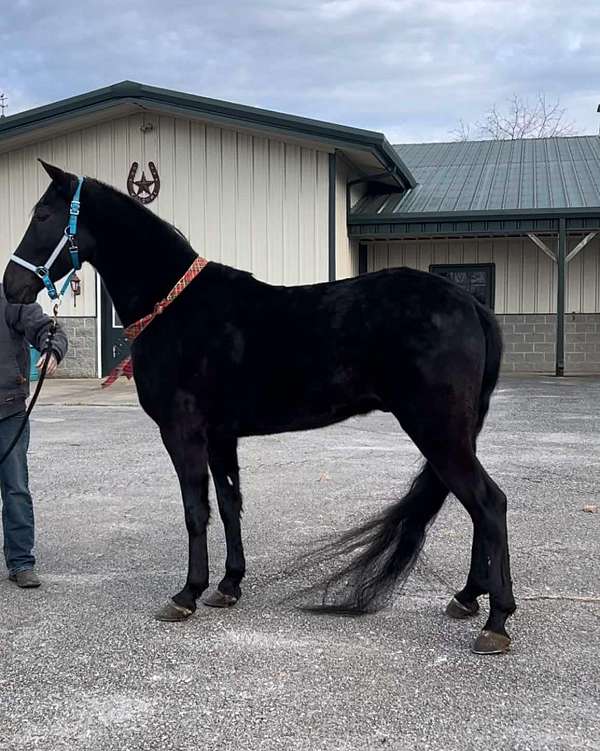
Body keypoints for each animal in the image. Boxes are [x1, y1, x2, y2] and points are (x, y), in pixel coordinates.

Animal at [2, 163, 516, 652]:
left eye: (42, 215)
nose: (12, 286)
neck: (176, 307)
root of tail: (471, 304)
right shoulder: (220, 436)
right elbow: (230, 504)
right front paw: (228, 585)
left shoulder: (183, 433)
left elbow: (195, 510)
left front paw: (187, 594)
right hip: (453, 434)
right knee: (477, 505)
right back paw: (467, 598)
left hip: (437, 431)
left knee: (488, 503)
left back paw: (496, 621)